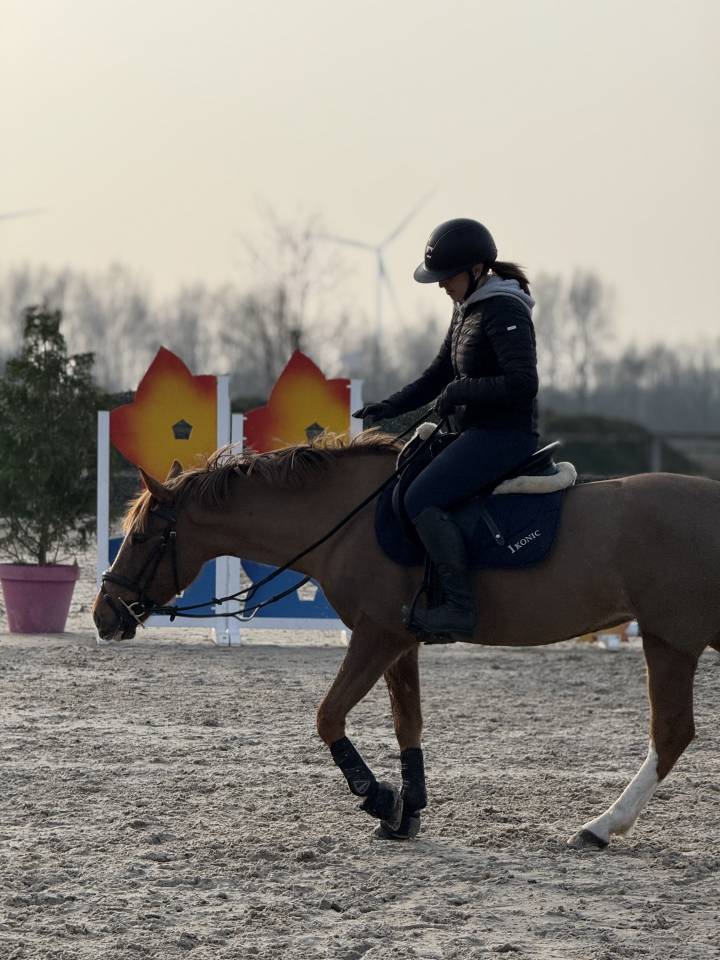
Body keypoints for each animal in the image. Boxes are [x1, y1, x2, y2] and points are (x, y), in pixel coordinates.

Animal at [92, 432, 720, 848]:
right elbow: (407, 723)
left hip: (671, 640)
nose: (104, 616)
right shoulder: (401, 642)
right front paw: (406, 813)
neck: (347, 522)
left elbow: (328, 716)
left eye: (142, 536)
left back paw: (601, 826)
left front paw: (379, 797)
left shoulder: (376, 636)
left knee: (671, 734)